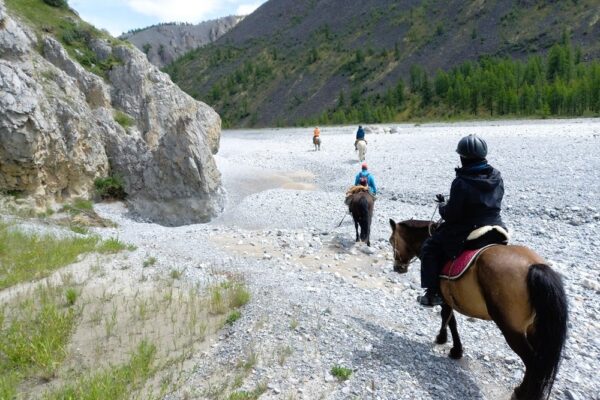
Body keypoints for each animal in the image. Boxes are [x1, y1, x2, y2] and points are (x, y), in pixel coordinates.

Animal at [390, 219, 568, 400]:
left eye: (391, 241)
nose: (397, 267)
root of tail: (534, 266)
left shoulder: (444, 298)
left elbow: (448, 319)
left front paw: (448, 344)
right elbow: (449, 319)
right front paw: (449, 344)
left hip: (512, 329)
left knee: (532, 362)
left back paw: (521, 393)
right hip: (535, 328)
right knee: (540, 361)